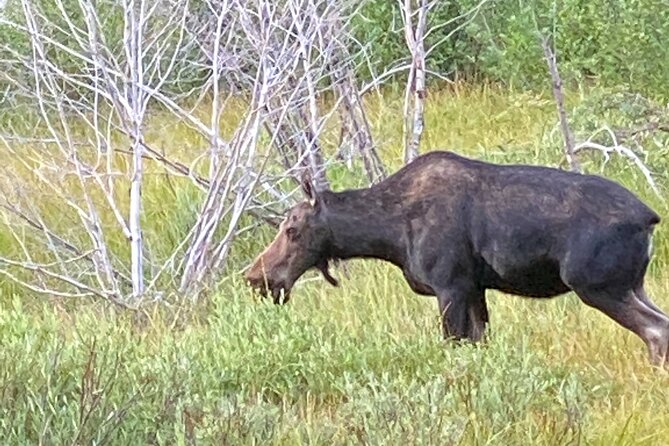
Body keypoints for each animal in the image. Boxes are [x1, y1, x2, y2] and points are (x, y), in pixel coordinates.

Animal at [245, 152, 668, 368]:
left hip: (598, 286)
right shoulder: (474, 288)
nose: (256, 277)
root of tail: (649, 219)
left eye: (292, 229)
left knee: (655, 330)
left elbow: (453, 346)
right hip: (633, 284)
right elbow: (478, 344)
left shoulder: (449, 286)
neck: (389, 235)